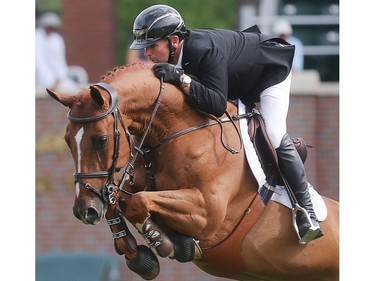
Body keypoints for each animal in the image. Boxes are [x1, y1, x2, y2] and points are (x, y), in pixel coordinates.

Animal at [47, 63, 340, 280]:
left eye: (101, 139)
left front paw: (168, 244)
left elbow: (137, 203)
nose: (84, 211)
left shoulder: (208, 213)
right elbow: (118, 202)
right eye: (67, 140)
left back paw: (308, 223)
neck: (178, 132)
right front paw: (139, 255)